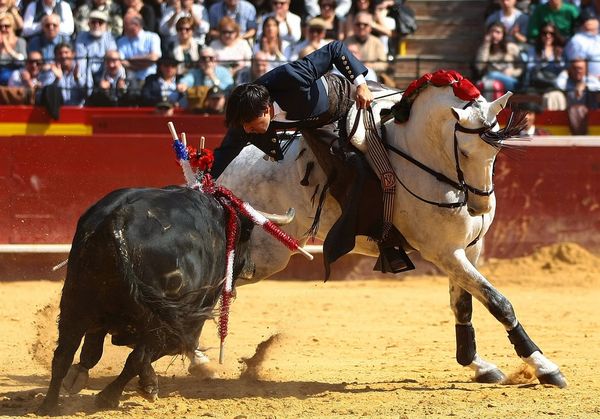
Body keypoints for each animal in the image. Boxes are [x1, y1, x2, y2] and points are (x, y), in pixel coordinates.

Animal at [39, 188, 255, 416]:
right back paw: (112, 395)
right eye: (248, 233)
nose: (251, 268)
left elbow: (93, 350)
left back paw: (49, 406)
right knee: (138, 356)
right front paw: (147, 386)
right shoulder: (188, 323)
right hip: (166, 318)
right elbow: (147, 354)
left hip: (74, 303)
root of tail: (118, 219)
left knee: (63, 354)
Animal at [217, 78, 568, 388]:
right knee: (224, 285)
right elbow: (498, 302)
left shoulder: (468, 249)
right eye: (466, 152)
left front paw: (476, 364)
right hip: (267, 256)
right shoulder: (444, 252)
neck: (423, 155)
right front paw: (545, 367)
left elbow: (463, 304)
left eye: (495, 151)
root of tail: (225, 172)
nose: (480, 206)